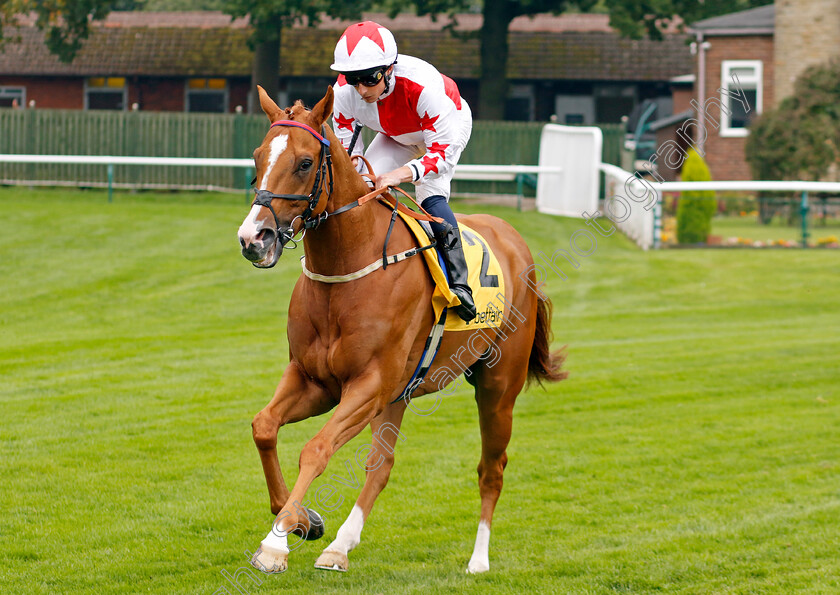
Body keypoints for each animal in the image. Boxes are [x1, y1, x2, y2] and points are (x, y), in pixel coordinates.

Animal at [236, 86, 564, 576]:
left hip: (497, 386)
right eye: (258, 157)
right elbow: (264, 427)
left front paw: (276, 543)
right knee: (382, 463)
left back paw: (478, 559)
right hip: (400, 393)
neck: (347, 270)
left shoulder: (368, 384)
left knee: (492, 468)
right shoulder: (315, 380)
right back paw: (340, 545)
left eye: (305, 163)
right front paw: (303, 521)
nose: (254, 239)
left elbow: (316, 449)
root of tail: (514, 238)